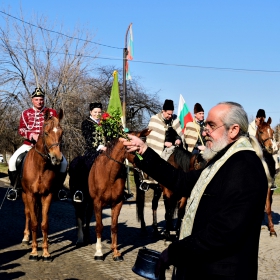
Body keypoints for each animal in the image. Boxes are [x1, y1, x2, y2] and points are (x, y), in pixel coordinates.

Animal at [21, 109, 64, 260]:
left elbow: (44, 224)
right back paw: (26, 237)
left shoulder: (47, 195)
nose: (57, 158)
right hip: (25, 195)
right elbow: (34, 222)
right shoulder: (30, 195)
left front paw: (45, 252)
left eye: (62, 133)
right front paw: (34, 252)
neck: (40, 166)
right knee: (28, 213)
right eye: (46, 133)